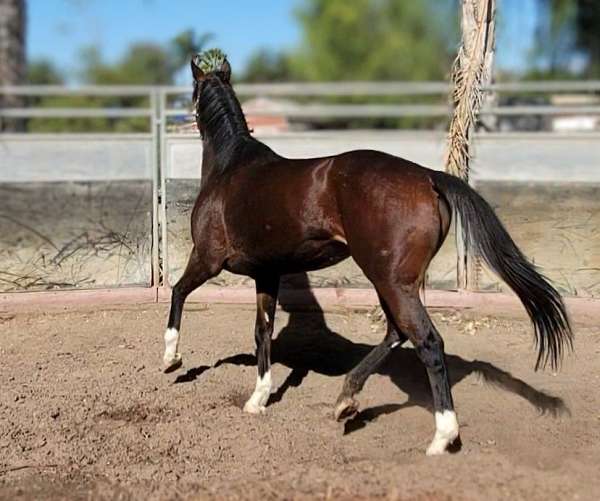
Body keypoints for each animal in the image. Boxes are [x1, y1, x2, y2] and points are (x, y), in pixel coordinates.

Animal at [163, 49, 572, 454]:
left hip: (389, 279)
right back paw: (346, 400)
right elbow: (262, 331)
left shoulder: (208, 258)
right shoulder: (267, 273)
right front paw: (257, 400)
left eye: (191, 94)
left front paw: (171, 360)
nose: (179, 121)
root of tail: (427, 177)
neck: (230, 167)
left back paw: (441, 438)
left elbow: (178, 292)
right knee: (397, 332)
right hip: (392, 280)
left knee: (427, 341)